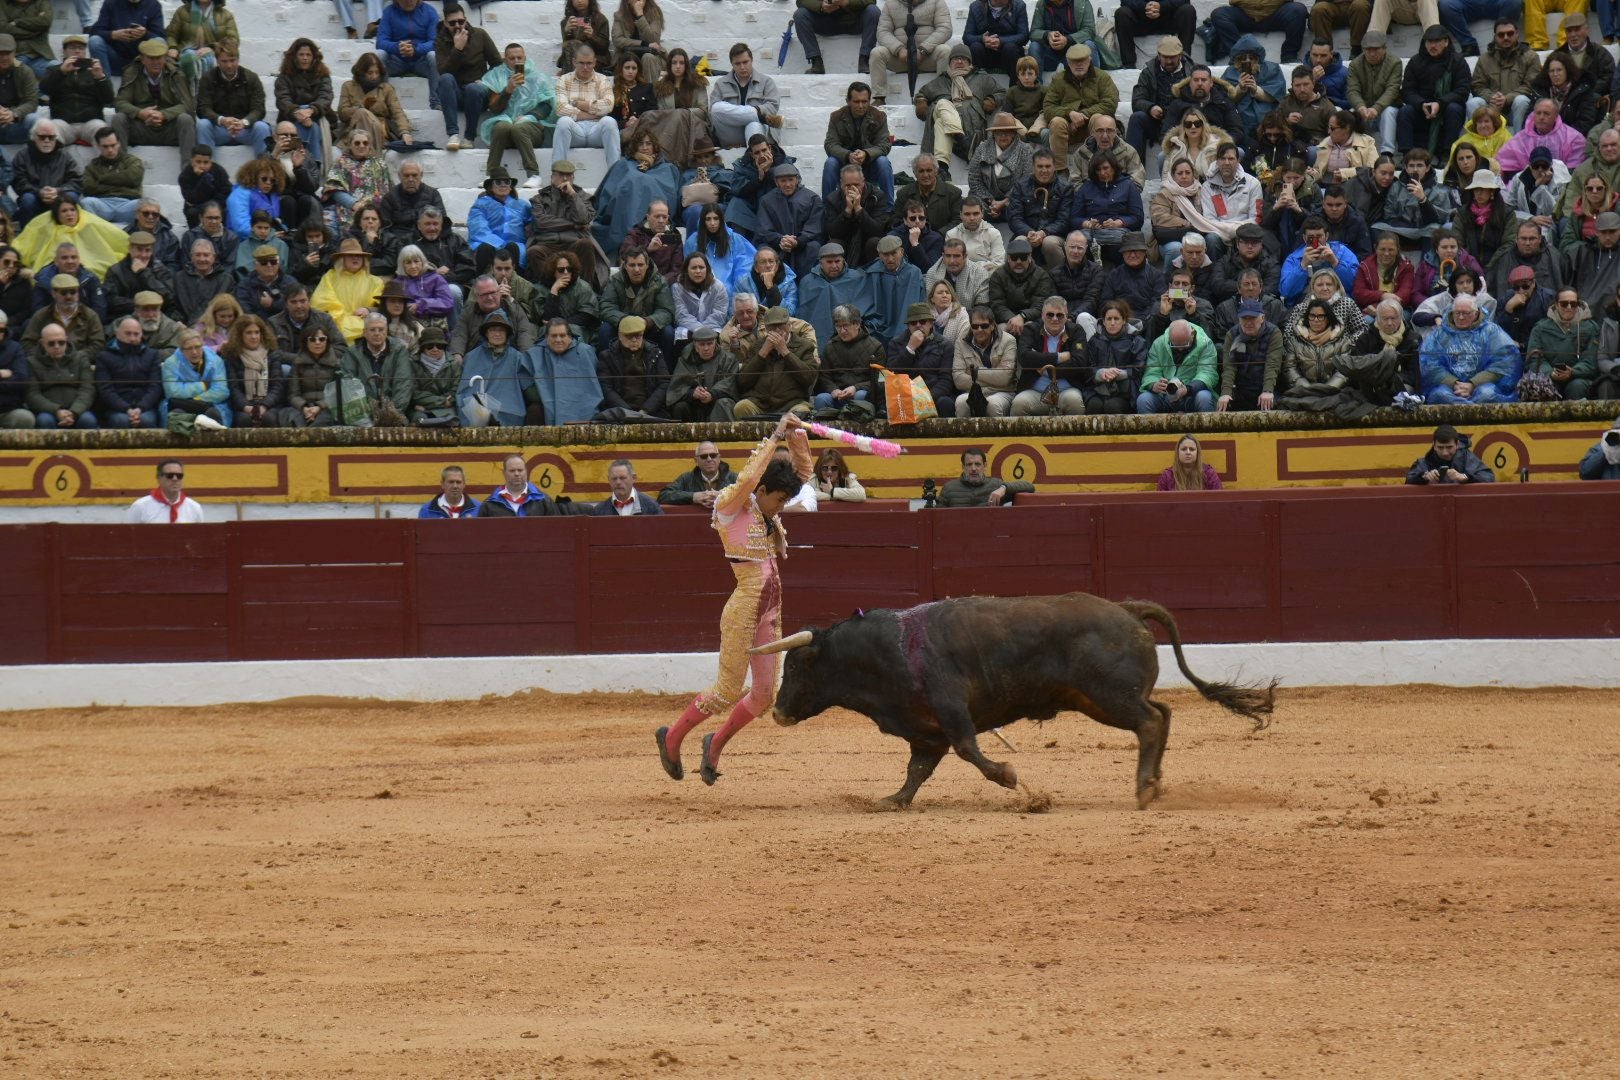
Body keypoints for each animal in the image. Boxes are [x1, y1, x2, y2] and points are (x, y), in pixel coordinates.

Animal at [748, 592, 1276, 809]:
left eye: (797, 666)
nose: (777, 712)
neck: (885, 650)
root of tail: (1126, 609)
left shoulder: (950, 708)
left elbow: (969, 750)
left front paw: (1010, 778)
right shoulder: (925, 729)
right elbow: (918, 768)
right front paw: (892, 800)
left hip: (1107, 696)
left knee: (1149, 721)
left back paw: (1144, 788)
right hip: (1098, 700)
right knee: (1161, 714)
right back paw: (1156, 782)